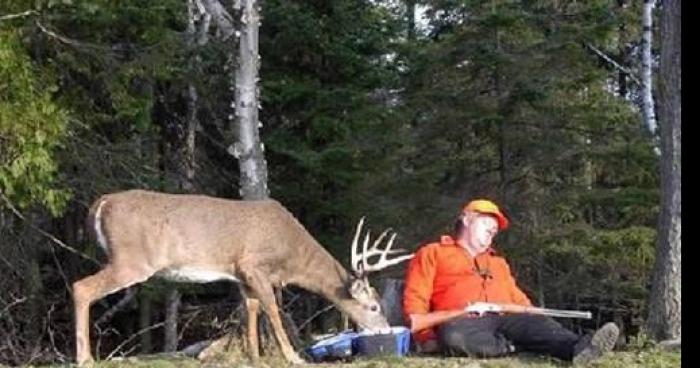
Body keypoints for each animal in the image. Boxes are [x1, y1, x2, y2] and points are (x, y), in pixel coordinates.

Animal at [72, 190, 410, 366]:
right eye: (374, 307)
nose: (384, 330)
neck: (290, 255)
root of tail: (101, 203)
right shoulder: (254, 265)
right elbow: (272, 309)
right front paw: (293, 357)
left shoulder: (242, 276)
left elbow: (251, 311)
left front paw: (254, 356)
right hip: (132, 259)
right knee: (81, 287)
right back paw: (85, 358)